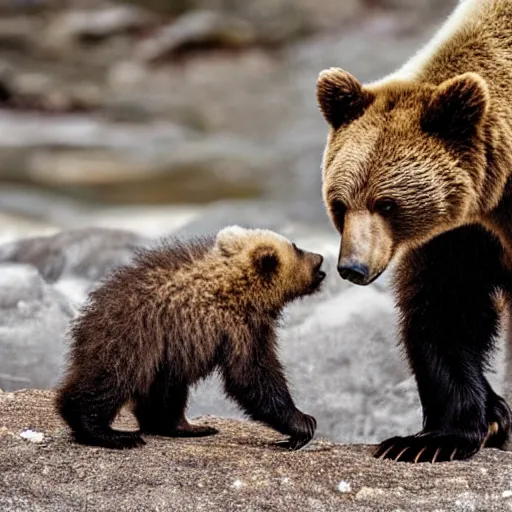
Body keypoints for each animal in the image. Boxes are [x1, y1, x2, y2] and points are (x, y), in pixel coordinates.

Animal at [316, 0, 512, 464]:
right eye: (340, 204)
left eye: (388, 203)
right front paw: (433, 439)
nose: (352, 267)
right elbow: (444, 307)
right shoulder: (461, 230)